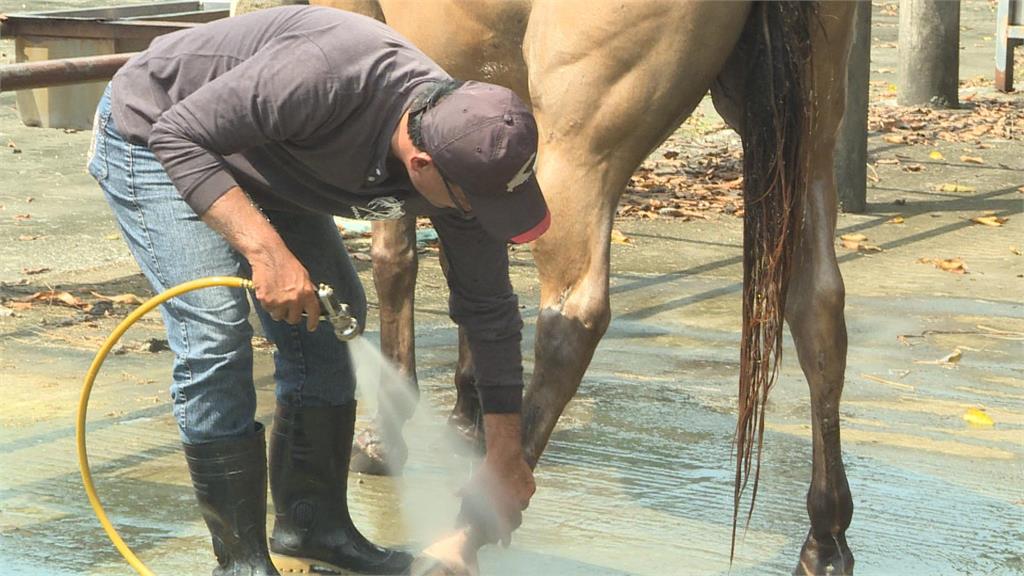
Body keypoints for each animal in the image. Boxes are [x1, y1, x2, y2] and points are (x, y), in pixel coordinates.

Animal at [234, 3, 856, 569]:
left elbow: (396, 259)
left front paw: (385, 437)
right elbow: (473, 283)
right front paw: (469, 414)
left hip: (578, 148)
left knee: (574, 317)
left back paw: (473, 526)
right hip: (807, 137)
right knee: (818, 308)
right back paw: (825, 539)